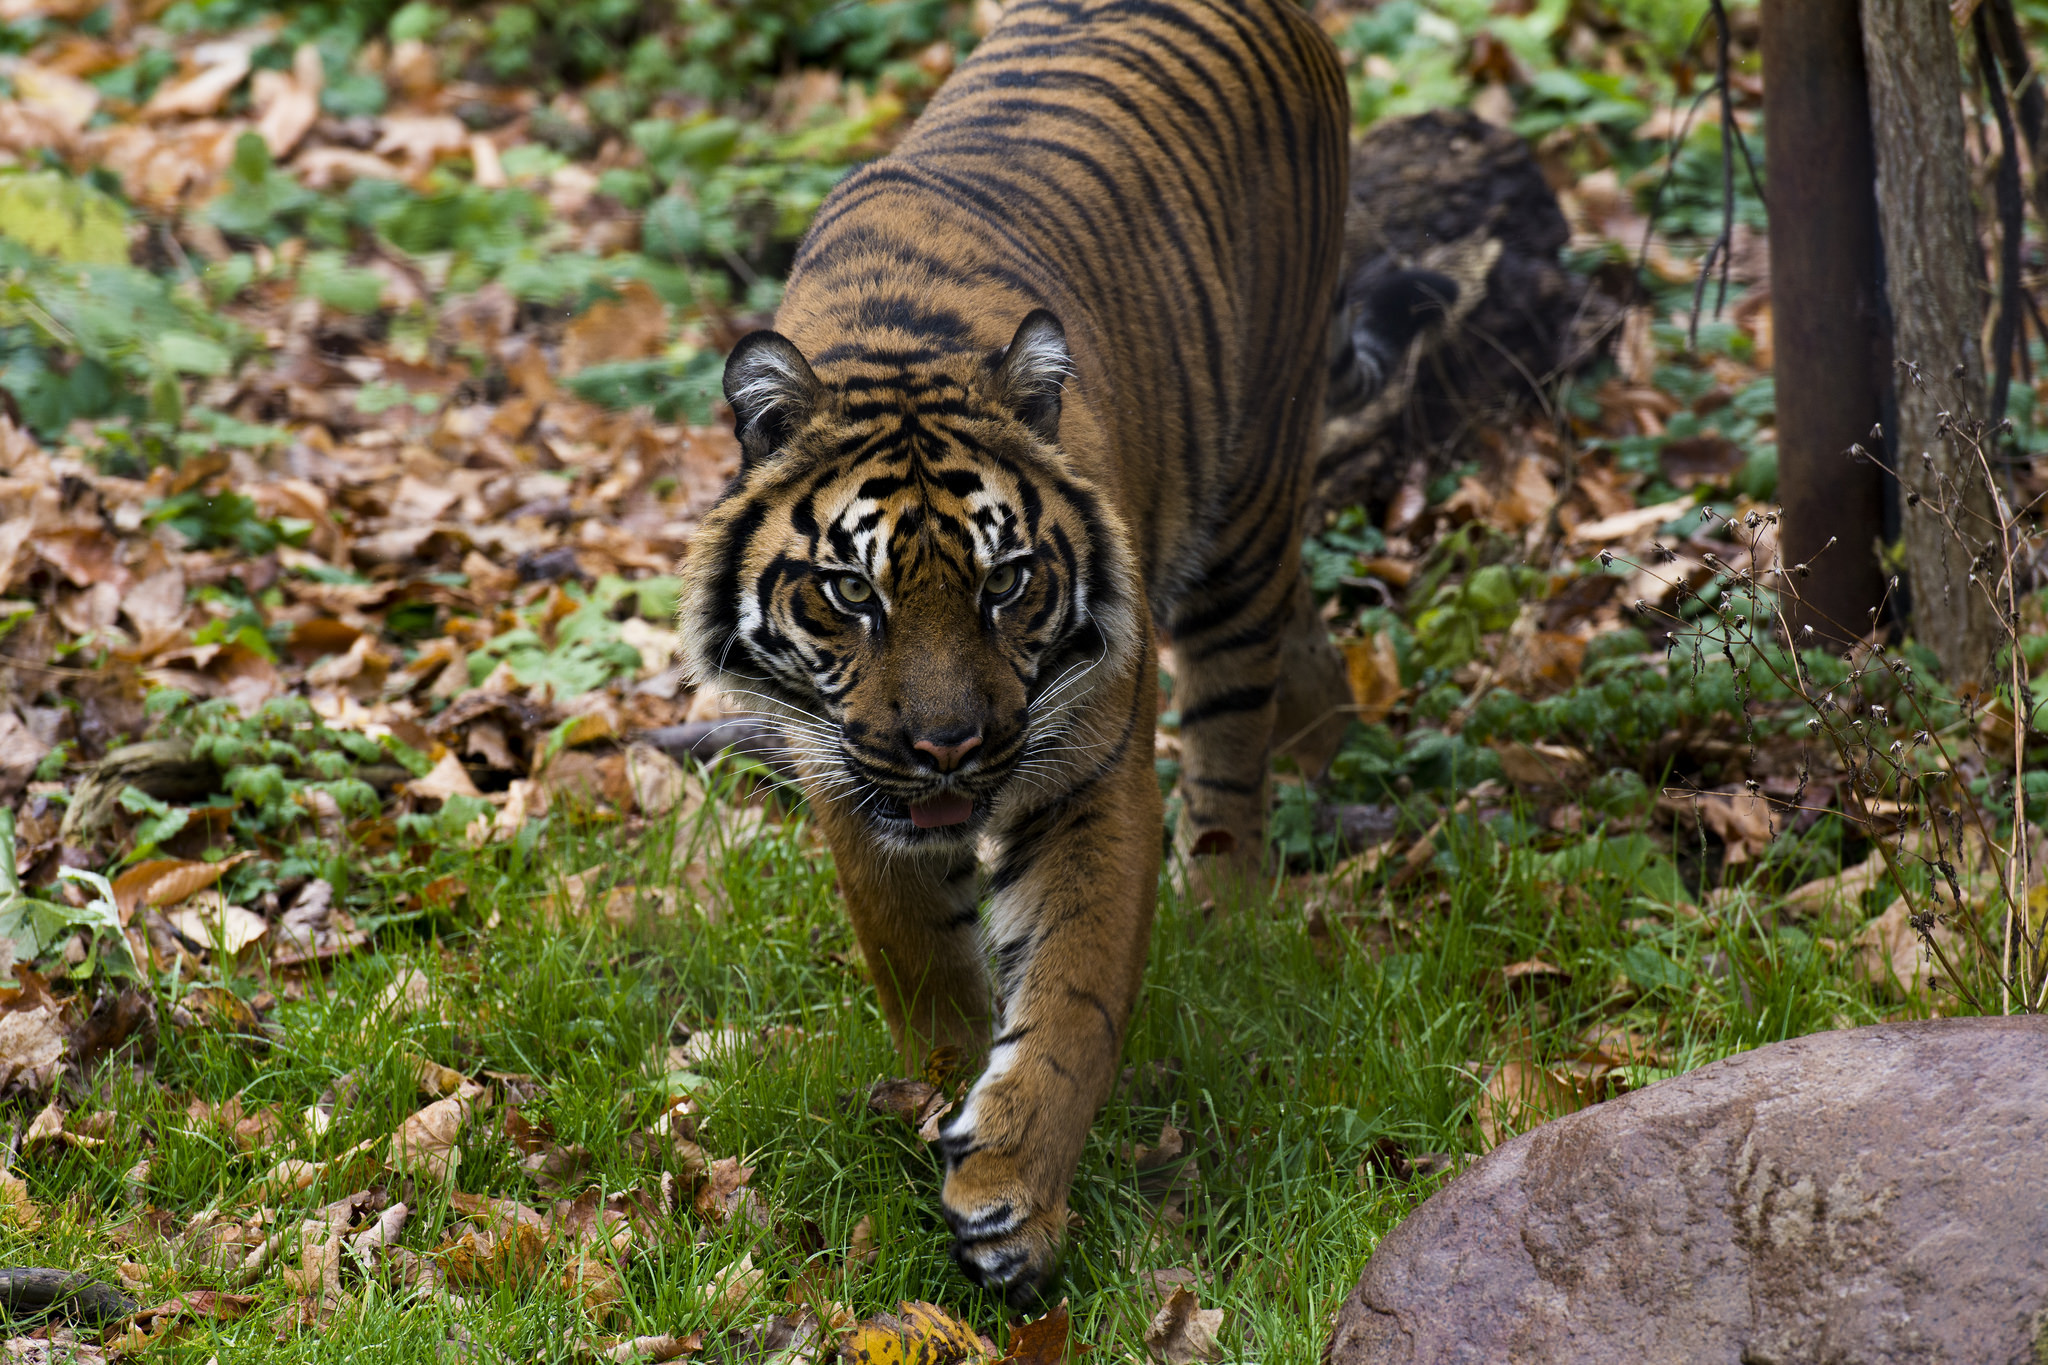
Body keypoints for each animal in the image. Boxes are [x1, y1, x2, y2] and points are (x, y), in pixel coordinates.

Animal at [679, 0, 1351, 1301]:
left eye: (1004, 584)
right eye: (851, 592)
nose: (948, 748)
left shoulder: (1085, 772)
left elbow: (1072, 996)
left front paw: (1009, 1198)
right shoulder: (848, 778)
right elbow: (925, 972)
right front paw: (937, 1107)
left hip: (1250, 493)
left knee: (1234, 721)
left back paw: (1229, 903)